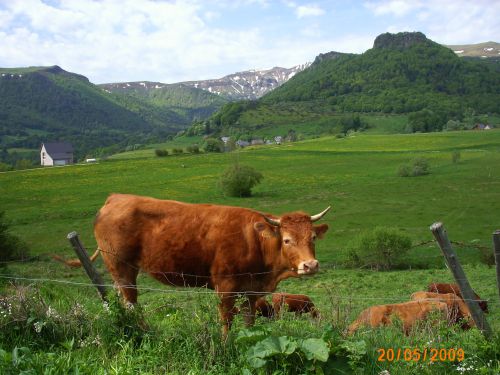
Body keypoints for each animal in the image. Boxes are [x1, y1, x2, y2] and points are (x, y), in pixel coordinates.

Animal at [56, 194, 330, 338]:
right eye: (287, 239)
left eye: (312, 238)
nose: (310, 265)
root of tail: (116, 198)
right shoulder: (225, 286)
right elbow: (226, 320)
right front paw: (226, 345)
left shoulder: (251, 289)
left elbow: (249, 321)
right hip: (122, 269)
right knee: (131, 303)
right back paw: (145, 333)